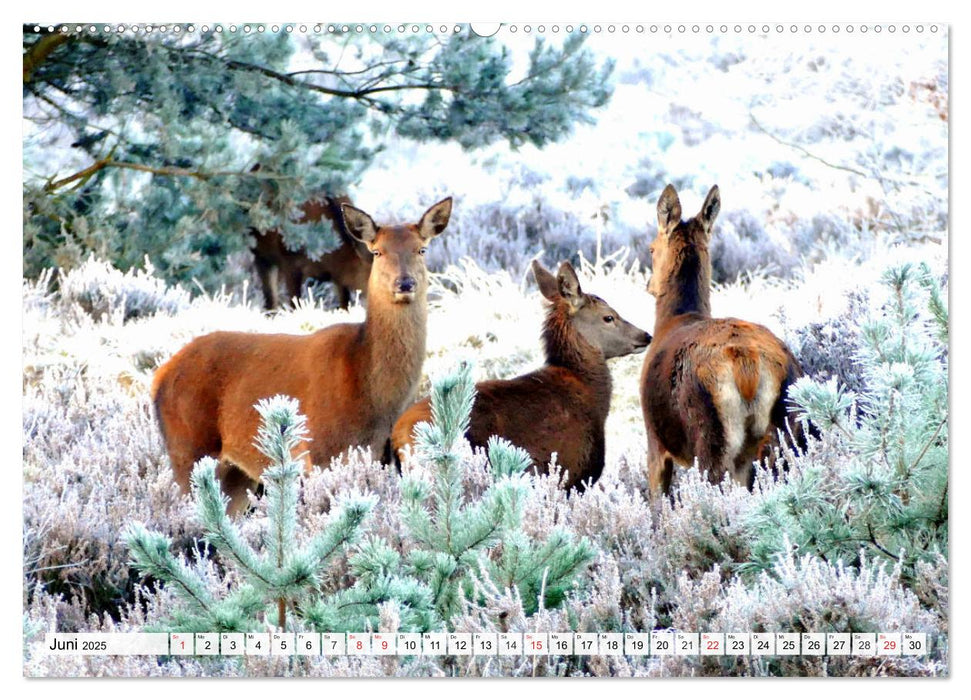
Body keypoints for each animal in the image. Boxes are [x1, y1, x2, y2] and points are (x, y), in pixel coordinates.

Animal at [153, 197, 456, 516]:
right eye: (378, 251)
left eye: (421, 249)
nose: (405, 283)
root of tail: (159, 376)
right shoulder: (317, 452)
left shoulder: (377, 455)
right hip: (188, 448)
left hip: (235, 474)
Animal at [640, 183, 808, 494]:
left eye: (651, 249)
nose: (649, 284)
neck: (673, 320)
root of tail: (749, 366)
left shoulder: (654, 440)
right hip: (788, 428)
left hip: (711, 434)